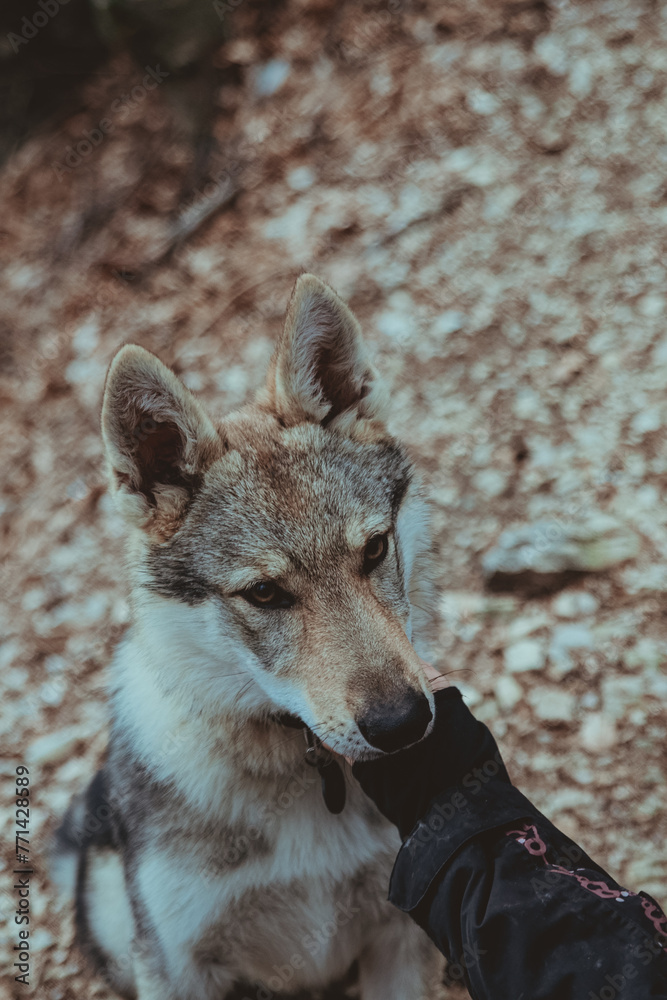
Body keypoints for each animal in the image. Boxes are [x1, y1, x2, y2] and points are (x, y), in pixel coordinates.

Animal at [54, 274, 444, 999]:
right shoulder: (176, 966)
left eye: (375, 550)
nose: (403, 723)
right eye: (264, 594)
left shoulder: (395, 938)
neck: (304, 775)